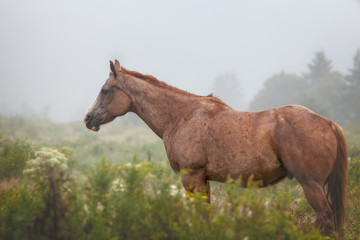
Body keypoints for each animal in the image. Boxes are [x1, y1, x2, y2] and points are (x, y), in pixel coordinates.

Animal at [83, 59, 348, 236]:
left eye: (105, 90)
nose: (88, 118)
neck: (180, 116)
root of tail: (328, 122)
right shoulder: (203, 179)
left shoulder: (191, 176)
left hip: (311, 185)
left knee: (325, 220)